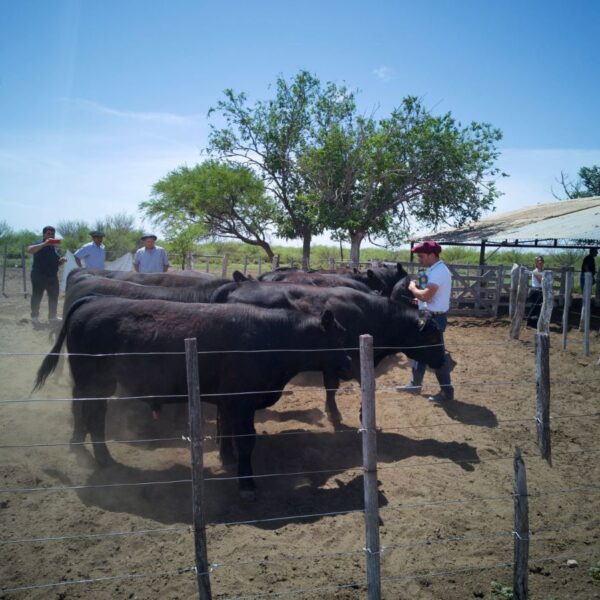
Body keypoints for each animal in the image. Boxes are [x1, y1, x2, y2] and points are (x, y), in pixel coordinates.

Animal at [34, 296, 352, 496]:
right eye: (337, 337)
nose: (350, 364)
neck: (272, 337)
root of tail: (92, 300)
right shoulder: (242, 401)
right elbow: (246, 440)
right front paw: (247, 484)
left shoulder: (228, 401)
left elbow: (227, 432)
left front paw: (227, 459)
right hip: (94, 382)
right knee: (92, 415)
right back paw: (101, 458)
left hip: (98, 384)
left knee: (89, 413)